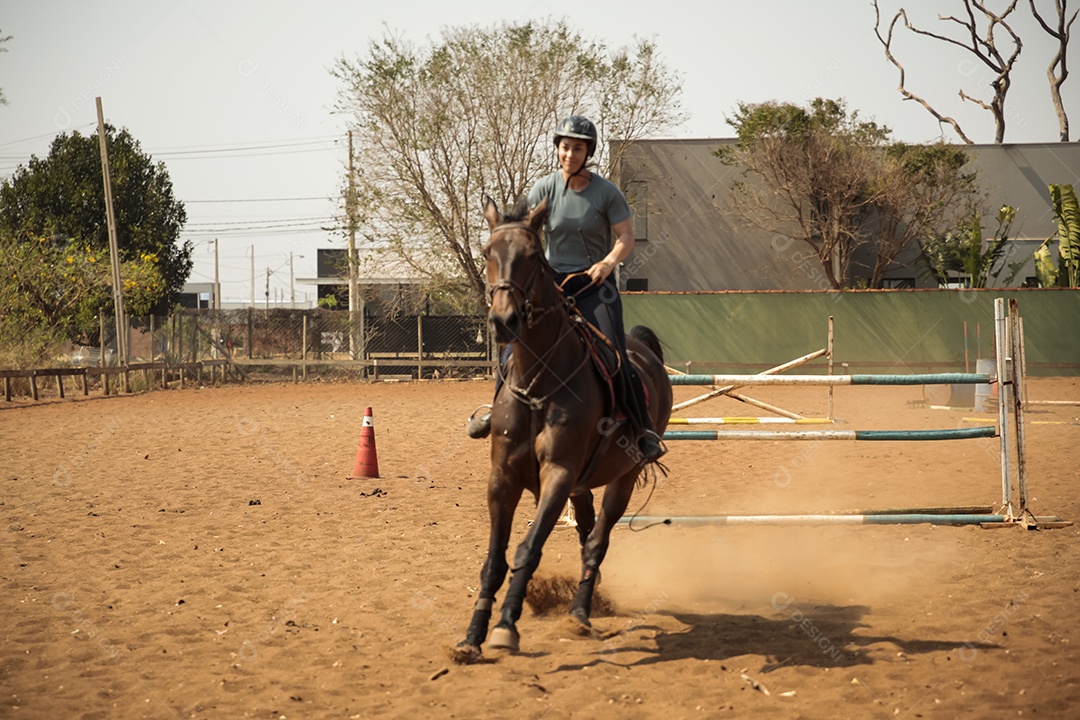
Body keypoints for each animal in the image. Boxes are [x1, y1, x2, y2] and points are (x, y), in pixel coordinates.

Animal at [451, 195, 669, 664]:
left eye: (534, 256)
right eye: (487, 252)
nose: (504, 321)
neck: (540, 383)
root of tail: (642, 347)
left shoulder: (558, 474)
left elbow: (527, 549)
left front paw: (506, 627)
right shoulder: (503, 478)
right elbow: (494, 561)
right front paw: (472, 636)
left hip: (623, 479)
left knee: (598, 541)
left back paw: (581, 613)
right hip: (584, 485)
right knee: (587, 532)